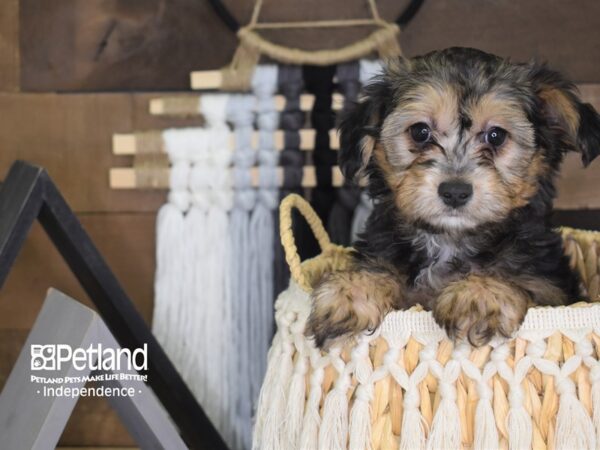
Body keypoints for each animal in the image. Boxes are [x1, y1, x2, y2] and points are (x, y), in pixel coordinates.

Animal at [308, 46, 600, 348]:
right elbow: (381, 269)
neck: (449, 240)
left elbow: (527, 285)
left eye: (496, 136)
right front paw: (351, 290)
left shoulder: (550, 287)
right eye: (420, 132)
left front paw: (478, 296)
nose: (455, 192)